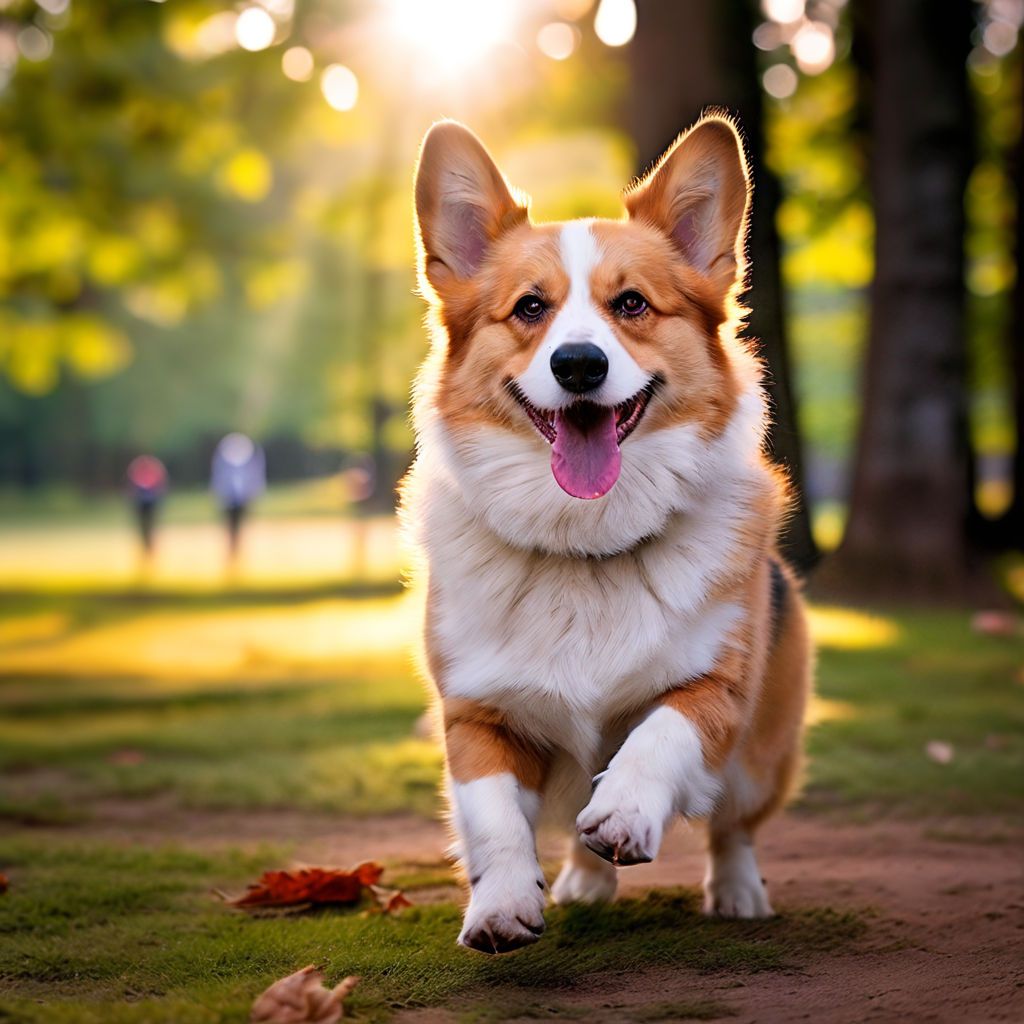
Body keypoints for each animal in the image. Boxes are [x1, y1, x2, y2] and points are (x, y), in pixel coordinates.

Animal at [403, 116, 811, 954]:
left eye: (631, 303)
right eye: (530, 308)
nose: (579, 365)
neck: (584, 546)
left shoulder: (716, 687)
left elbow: (657, 735)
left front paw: (625, 811)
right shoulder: (477, 714)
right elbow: (492, 818)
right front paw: (501, 906)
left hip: (760, 759)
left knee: (732, 828)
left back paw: (737, 891)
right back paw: (585, 884)